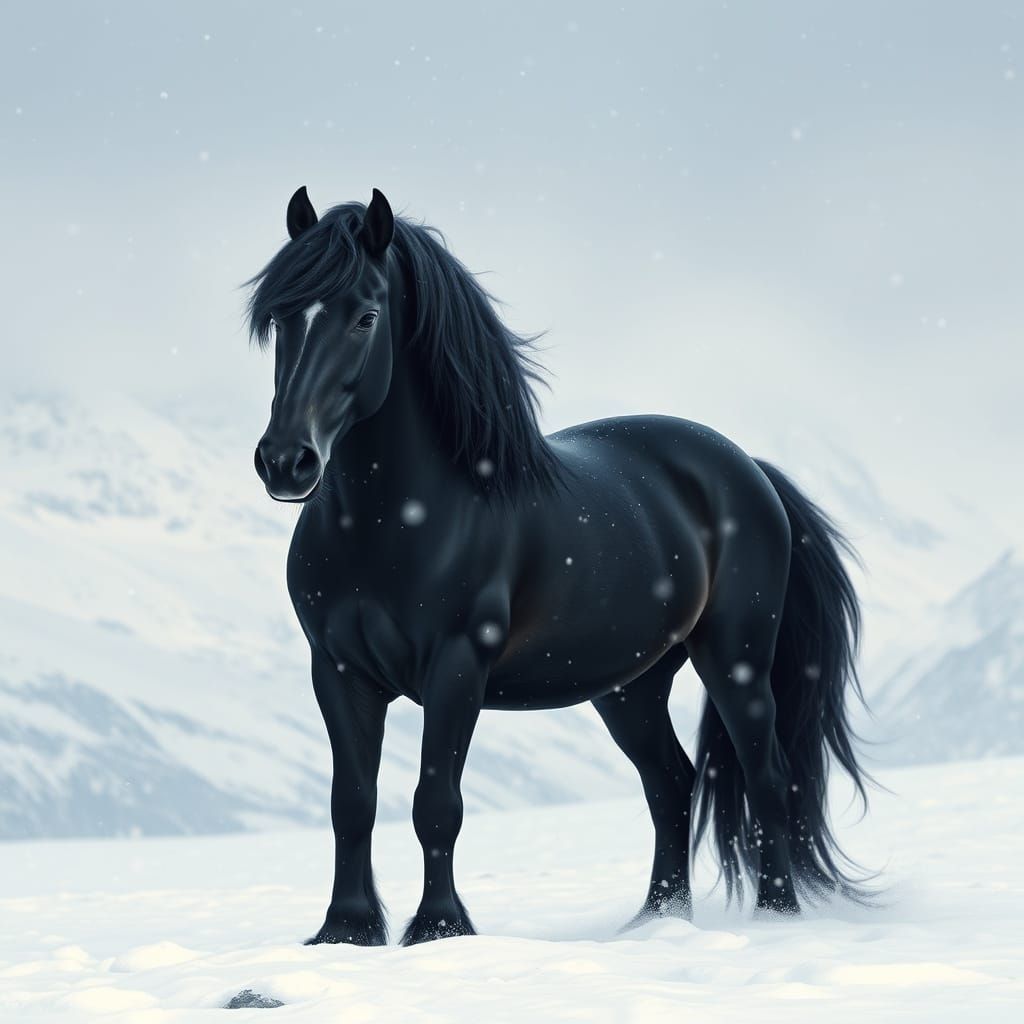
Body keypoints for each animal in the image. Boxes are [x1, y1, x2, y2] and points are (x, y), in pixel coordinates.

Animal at [247, 186, 870, 946]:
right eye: (280, 319)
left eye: (366, 316)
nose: (285, 461)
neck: (392, 525)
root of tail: (748, 468)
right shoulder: (338, 670)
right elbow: (352, 801)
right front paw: (347, 931)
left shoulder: (457, 664)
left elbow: (436, 800)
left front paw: (439, 929)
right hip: (630, 686)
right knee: (670, 782)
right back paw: (655, 921)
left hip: (736, 656)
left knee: (767, 775)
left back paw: (776, 918)